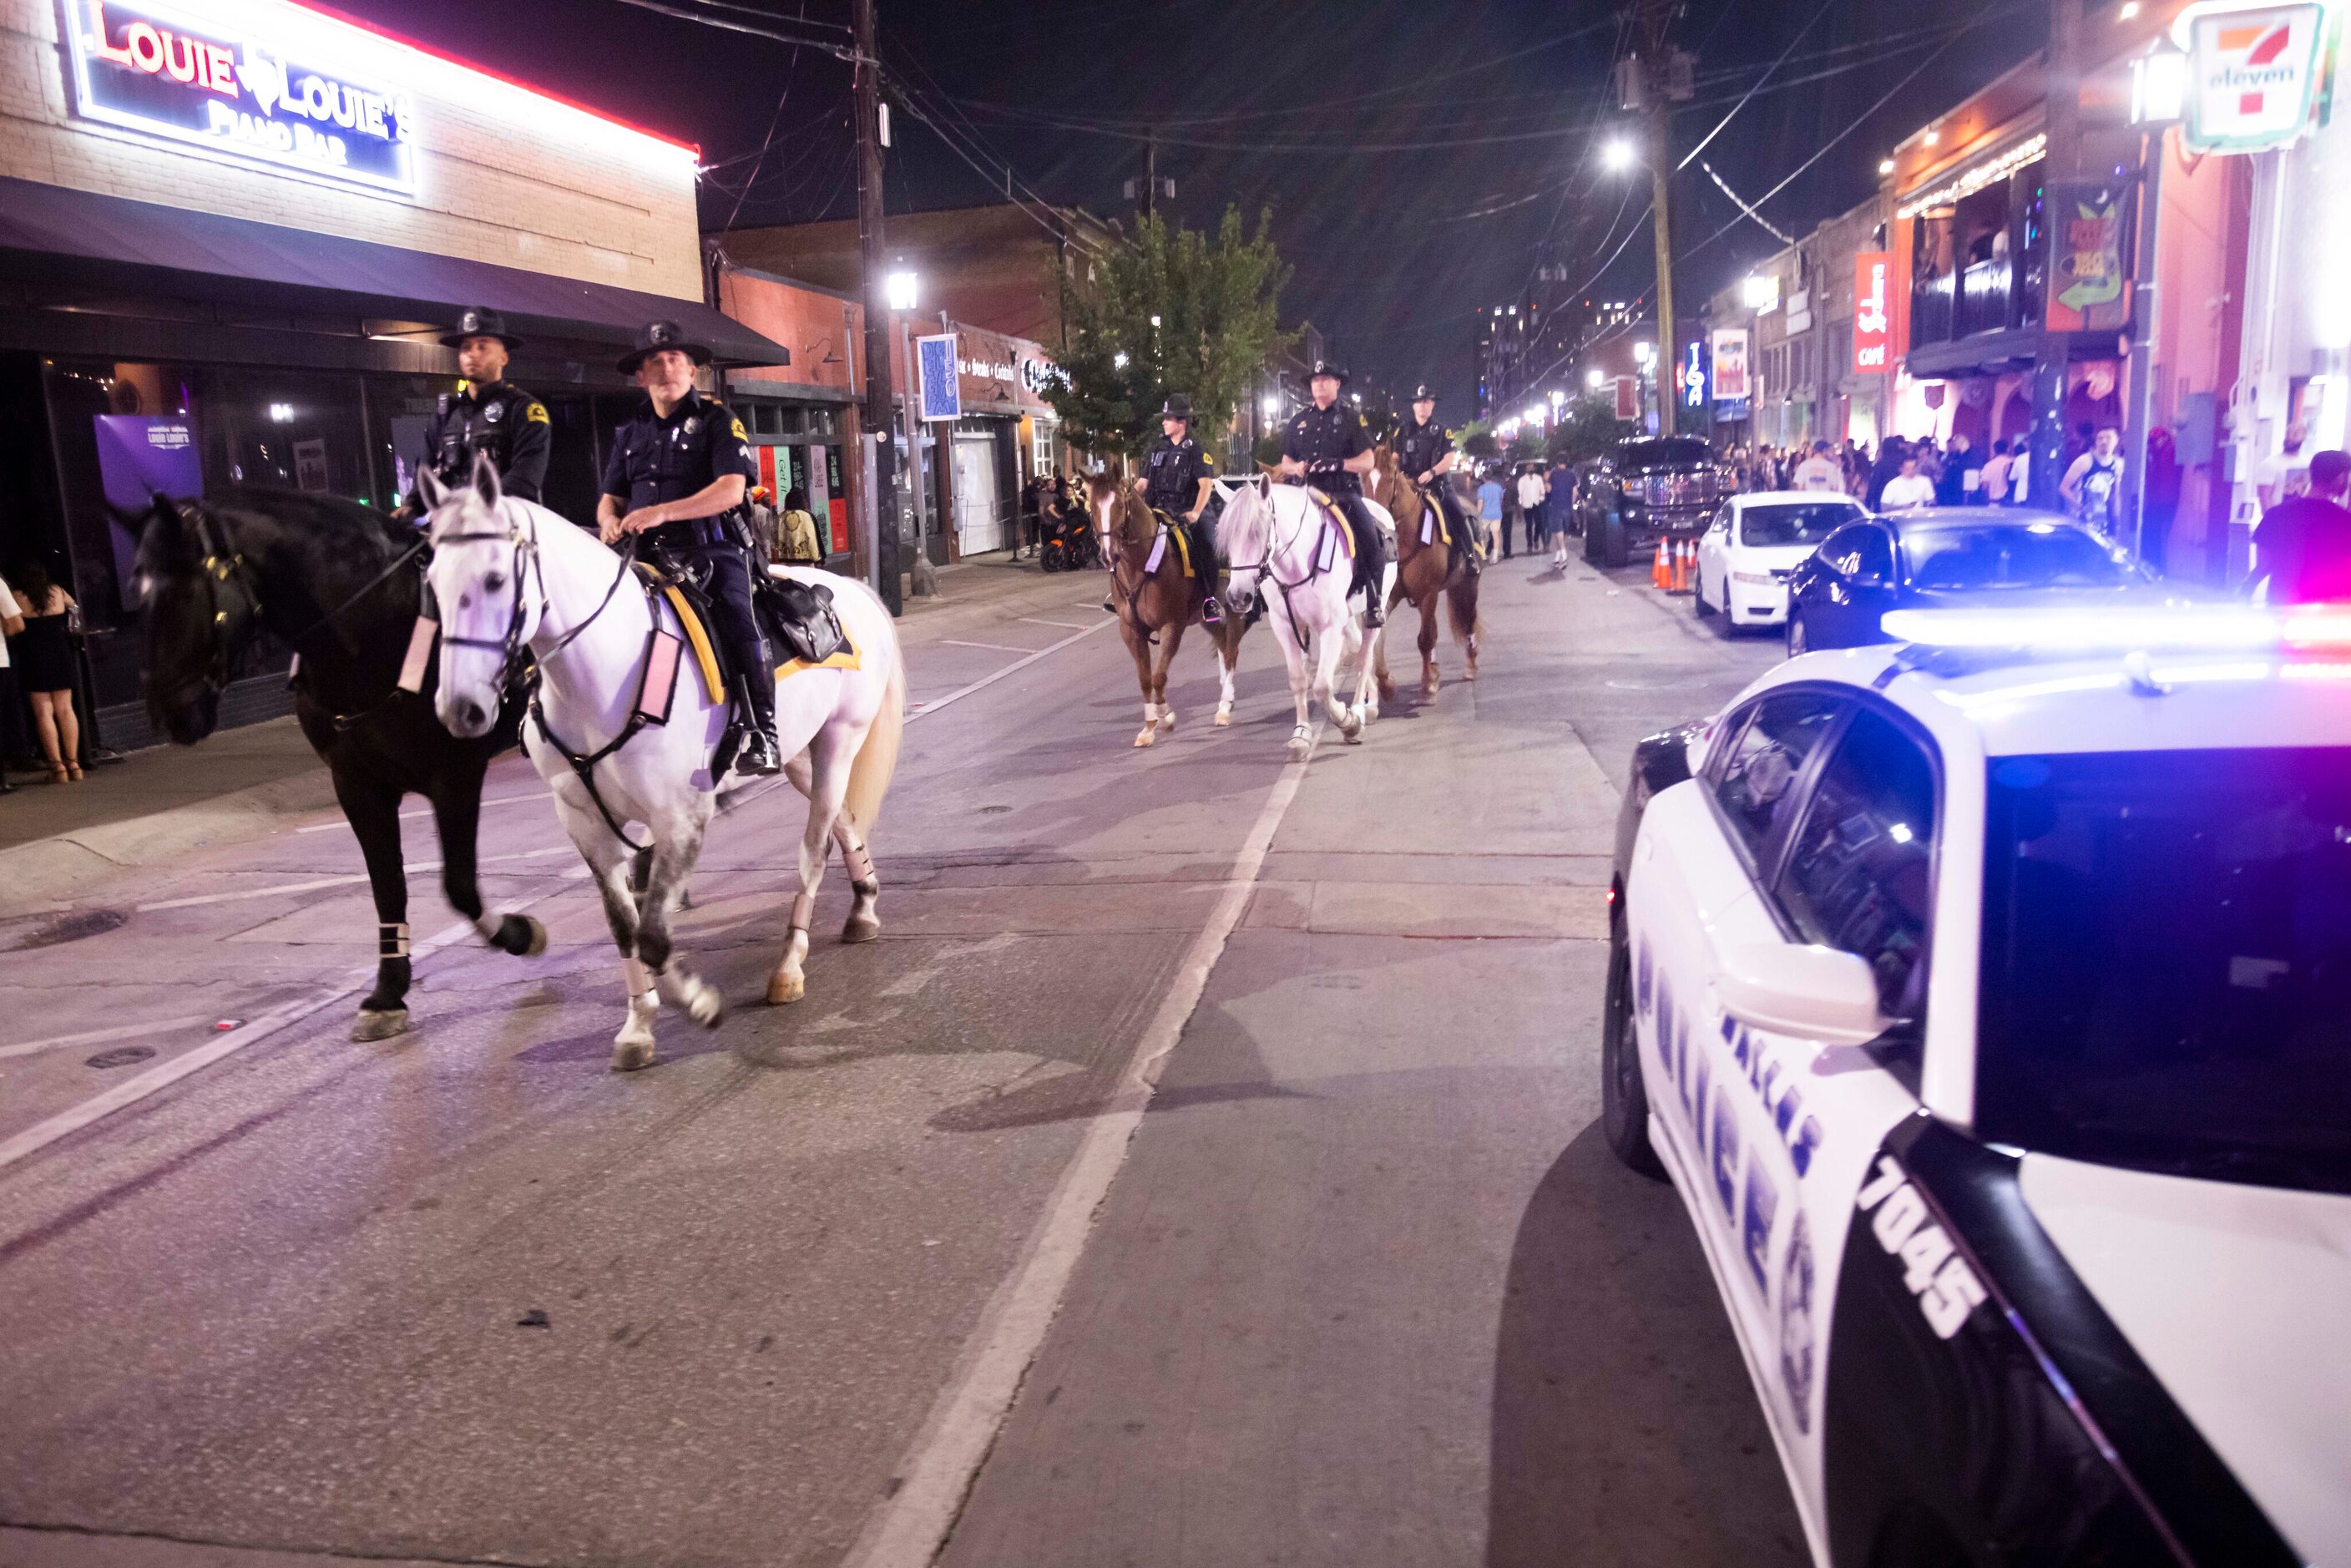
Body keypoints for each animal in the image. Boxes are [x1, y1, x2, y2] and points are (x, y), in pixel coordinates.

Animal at [133, 493, 545, 1044]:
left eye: (182, 593)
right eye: (136, 597)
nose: (167, 714)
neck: (378, 632)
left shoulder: (455, 776)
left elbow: (458, 885)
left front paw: (519, 933)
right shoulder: (356, 785)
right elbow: (387, 888)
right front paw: (388, 992)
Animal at [422, 460, 897, 1071]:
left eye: (494, 580)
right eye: (432, 584)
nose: (461, 709)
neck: (599, 676)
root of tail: (853, 590)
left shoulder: (680, 819)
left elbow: (652, 935)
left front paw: (697, 1002)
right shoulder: (585, 825)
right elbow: (626, 928)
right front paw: (639, 1024)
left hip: (839, 740)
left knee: (813, 849)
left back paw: (790, 964)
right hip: (800, 753)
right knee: (841, 819)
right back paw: (863, 906)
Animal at [1090, 470, 1251, 747]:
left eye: (1119, 505)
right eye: (1091, 507)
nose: (1107, 555)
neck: (1140, 567)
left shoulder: (1171, 627)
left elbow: (1158, 677)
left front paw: (1166, 717)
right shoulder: (1131, 631)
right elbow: (1145, 679)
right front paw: (1148, 726)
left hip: (1234, 609)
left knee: (1231, 654)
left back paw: (1224, 708)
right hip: (1205, 617)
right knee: (1222, 645)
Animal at [1213, 482, 1392, 761]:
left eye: (1258, 532)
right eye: (1228, 536)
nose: (1238, 597)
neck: (1296, 567)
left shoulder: (1329, 626)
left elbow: (1322, 687)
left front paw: (1348, 723)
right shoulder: (1286, 627)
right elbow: (1299, 680)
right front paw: (1301, 735)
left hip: (1375, 609)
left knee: (1364, 658)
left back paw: (1359, 711)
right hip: (1347, 617)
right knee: (1358, 648)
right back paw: (1369, 704)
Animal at [1373, 451, 1476, 701]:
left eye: (1390, 479)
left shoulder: (1430, 593)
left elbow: (1425, 639)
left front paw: (1428, 685)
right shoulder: (1392, 596)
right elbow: (1380, 637)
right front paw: (1386, 684)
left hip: (1469, 585)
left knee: (1468, 621)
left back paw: (1469, 667)